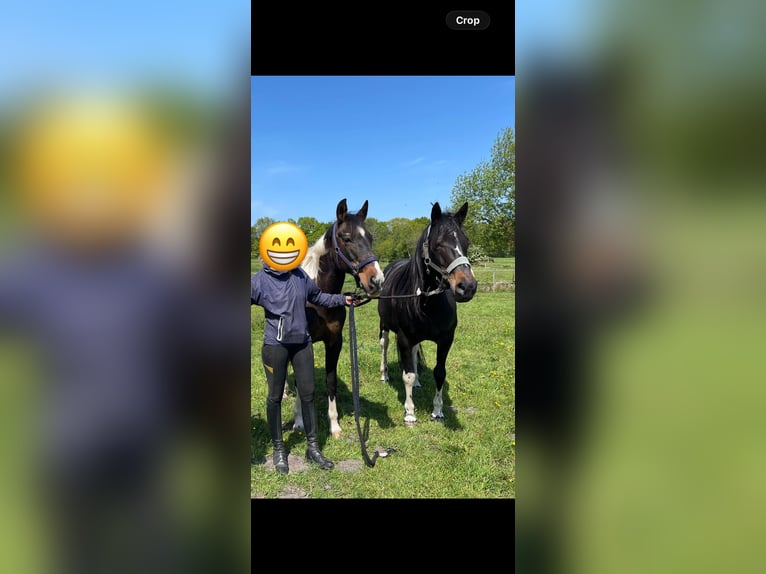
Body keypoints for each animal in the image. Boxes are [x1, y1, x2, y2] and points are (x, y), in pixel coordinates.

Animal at [293, 198, 385, 438]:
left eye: (370, 237)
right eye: (346, 238)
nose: (376, 280)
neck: (318, 297)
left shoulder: (335, 342)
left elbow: (331, 380)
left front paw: (334, 425)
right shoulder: (303, 345)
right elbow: (301, 382)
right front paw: (299, 422)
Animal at [378, 201, 478, 424]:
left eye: (466, 241)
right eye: (438, 244)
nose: (467, 287)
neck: (426, 302)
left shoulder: (446, 339)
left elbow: (439, 373)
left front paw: (438, 411)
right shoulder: (404, 338)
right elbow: (406, 375)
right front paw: (410, 413)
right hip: (385, 327)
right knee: (384, 346)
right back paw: (384, 376)